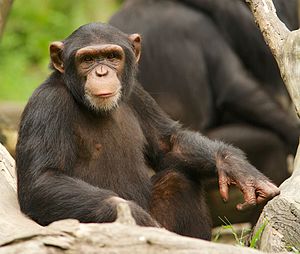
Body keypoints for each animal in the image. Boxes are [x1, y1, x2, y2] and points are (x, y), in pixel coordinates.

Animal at [15, 22, 278, 240]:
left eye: (112, 56)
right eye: (87, 60)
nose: (101, 72)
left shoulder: (137, 94)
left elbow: (168, 142)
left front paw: (235, 166)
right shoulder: (46, 106)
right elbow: (43, 180)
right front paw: (135, 217)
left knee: (178, 180)